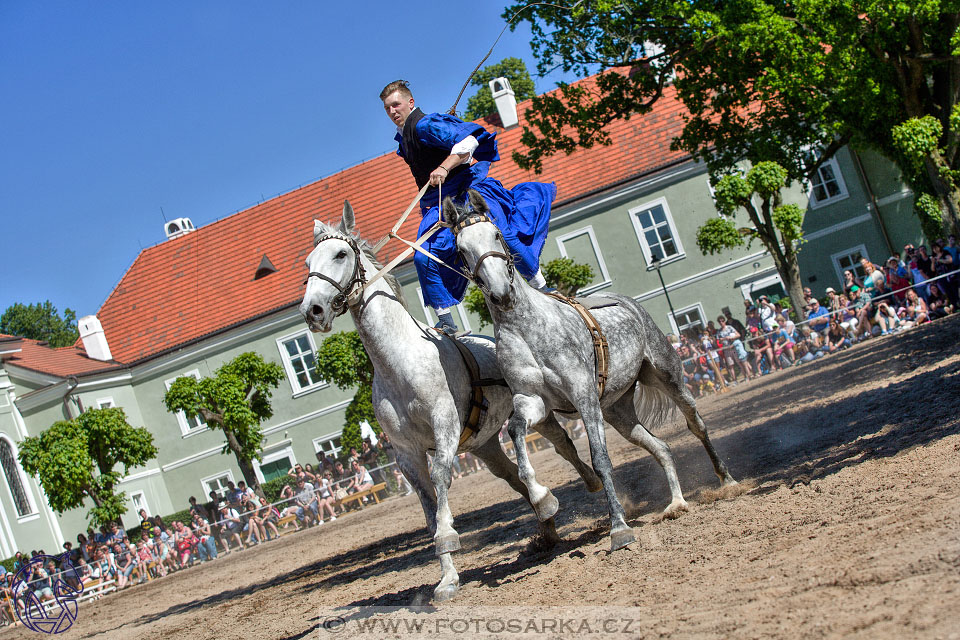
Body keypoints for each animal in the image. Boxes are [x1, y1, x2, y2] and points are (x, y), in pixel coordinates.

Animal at [298, 202, 600, 604]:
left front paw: (450, 545)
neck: (400, 363)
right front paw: (447, 576)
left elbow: (442, 479)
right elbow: (429, 505)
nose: (313, 310)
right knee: (513, 478)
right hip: (486, 444)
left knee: (564, 445)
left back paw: (588, 485)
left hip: (540, 412)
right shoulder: (405, 453)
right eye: (308, 263)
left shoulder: (444, 428)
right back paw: (546, 528)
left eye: (340, 254)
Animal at [446, 190, 740, 552]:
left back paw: (727, 480)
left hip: (667, 376)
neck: (529, 330)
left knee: (696, 425)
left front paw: (619, 528)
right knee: (661, 447)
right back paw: (677, 503)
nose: (502, 294)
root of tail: (629, 303)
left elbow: (600, 459)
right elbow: (516, 432)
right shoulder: (533, 401)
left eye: (497, 235)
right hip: (618, 412)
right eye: (461, 250)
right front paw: (542, 499)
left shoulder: (584, 397)